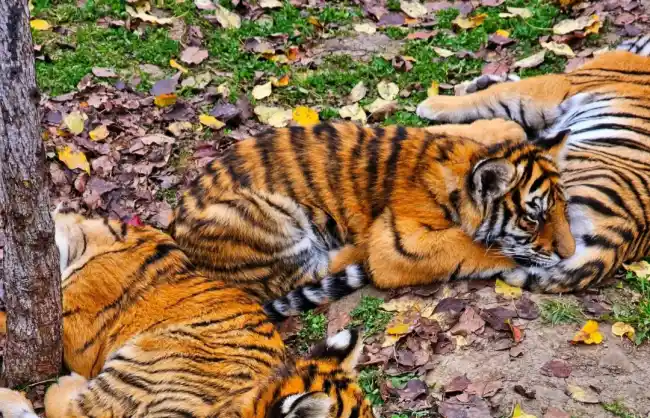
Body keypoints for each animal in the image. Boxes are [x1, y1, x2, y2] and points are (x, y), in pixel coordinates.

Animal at [170, 116, 575, 322]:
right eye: (534, 218)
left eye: (562, 208)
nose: (571, 253)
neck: (459, 167)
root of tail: (175, 228)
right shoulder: (397, 245)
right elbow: (472, 246)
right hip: (265, 216)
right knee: (308, 272)